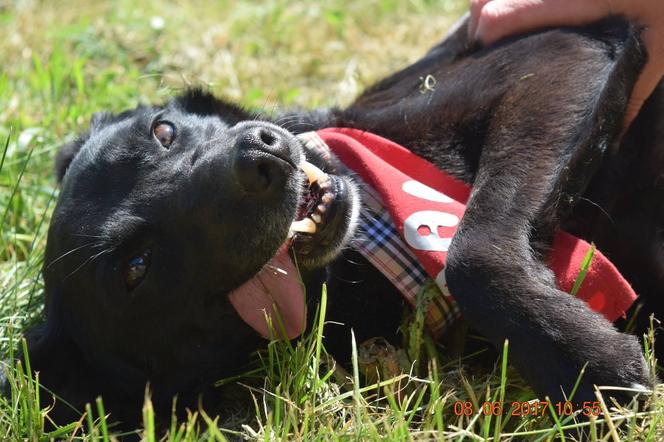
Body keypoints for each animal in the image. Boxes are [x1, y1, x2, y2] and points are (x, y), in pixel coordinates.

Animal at [18, 18, 660, 428]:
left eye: (163, 131)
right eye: (136, 267)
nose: (260, 156)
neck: (379, 244)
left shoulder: (558, 52)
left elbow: (473, 247)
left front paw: (577, 354)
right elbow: (469, 254)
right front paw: (588, 362)